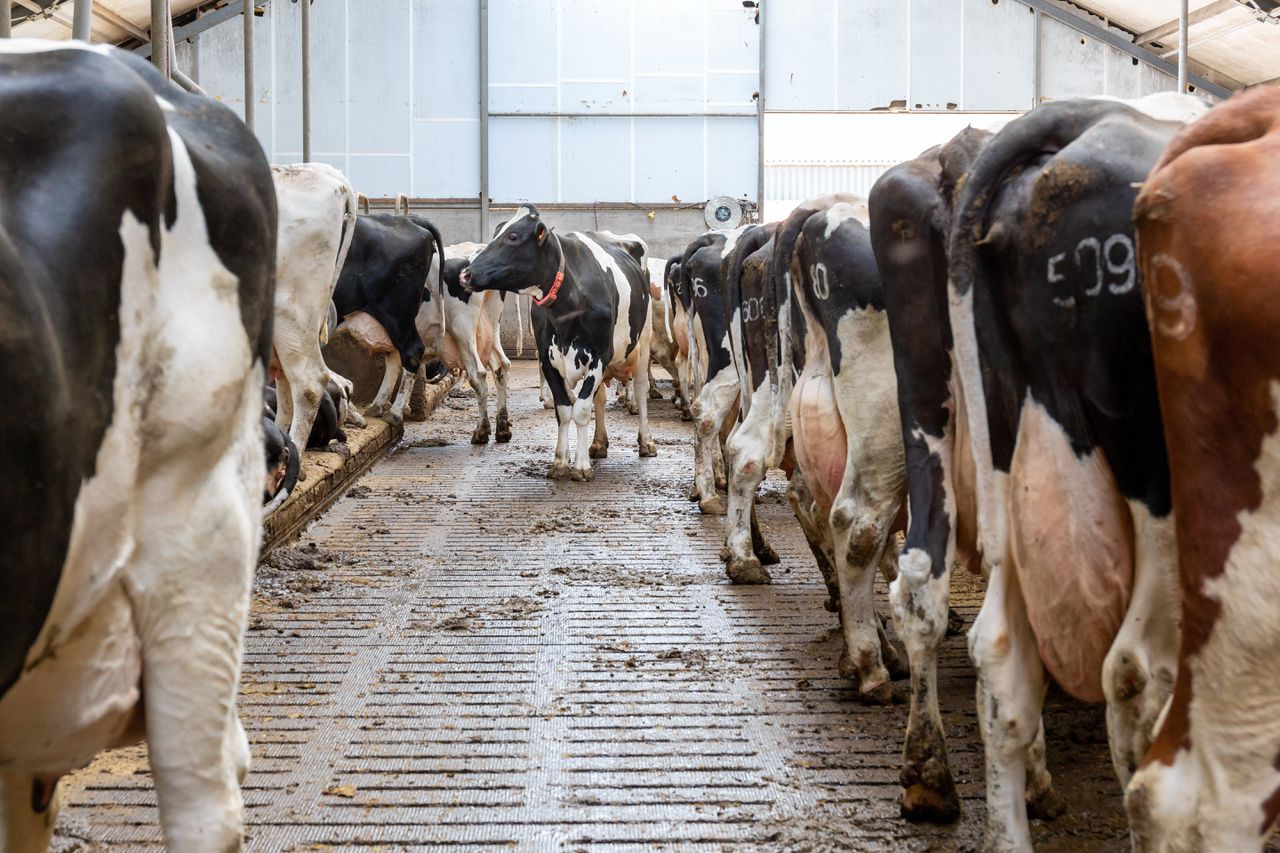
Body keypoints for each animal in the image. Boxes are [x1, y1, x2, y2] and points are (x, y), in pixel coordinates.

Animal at [332, 212, 442, 425]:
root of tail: (407, 219)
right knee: (394, 355)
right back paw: (377, 405)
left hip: (397, 313)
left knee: (411, 351)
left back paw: (396, 411)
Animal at [460, 202, 655, 473]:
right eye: (497, 233)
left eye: (513, 237)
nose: (465, 274)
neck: (570, 298)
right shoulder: (547, 359)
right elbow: (564, 409)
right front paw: (561, 462)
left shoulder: (598, 357)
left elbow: (581, 410)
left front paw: (581, 467)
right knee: (600, 400)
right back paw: (599, 444)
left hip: (643, 342)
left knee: (640, 389)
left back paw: (646, 442)